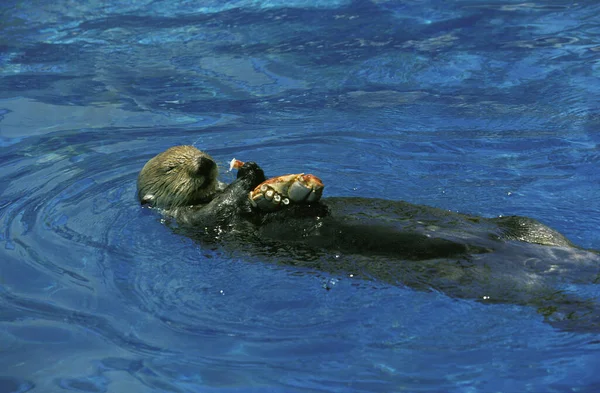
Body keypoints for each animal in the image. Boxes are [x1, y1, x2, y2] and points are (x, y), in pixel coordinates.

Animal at [137, 145, 600, 330]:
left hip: (525, 227)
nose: (206, 161)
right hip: (481, 280)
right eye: (171, 168)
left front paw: (276, 183)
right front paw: (255, 183)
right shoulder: (194, 220)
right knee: (542, 297)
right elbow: (225, 209)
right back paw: (579, 315)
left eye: (199, 150)